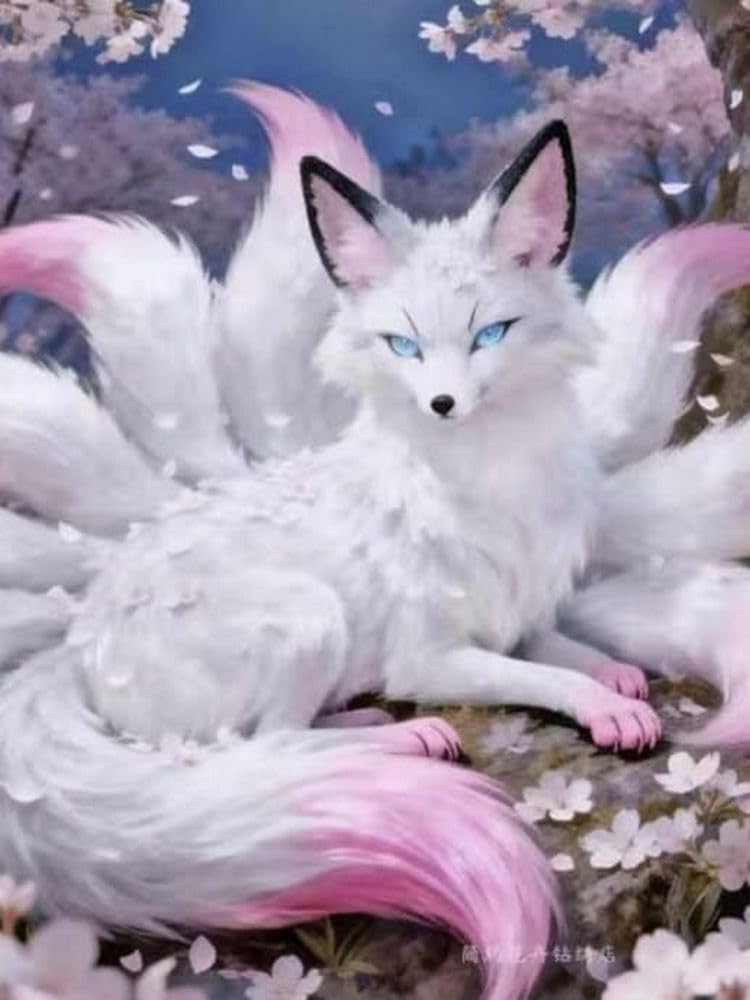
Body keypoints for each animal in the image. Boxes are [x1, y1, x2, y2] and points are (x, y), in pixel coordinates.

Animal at [1, 83, 750, 999]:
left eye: (490, 334)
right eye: (404, 345)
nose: (442, 403)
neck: (493, 484)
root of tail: (78, 643)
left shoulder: (518, 608)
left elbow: (559, 647)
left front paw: (615, 678)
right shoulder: (431, 657)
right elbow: (537, 675)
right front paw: (604, 707)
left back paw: (370, 721)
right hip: (308, 613)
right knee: (261, 748)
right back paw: (402, 737)